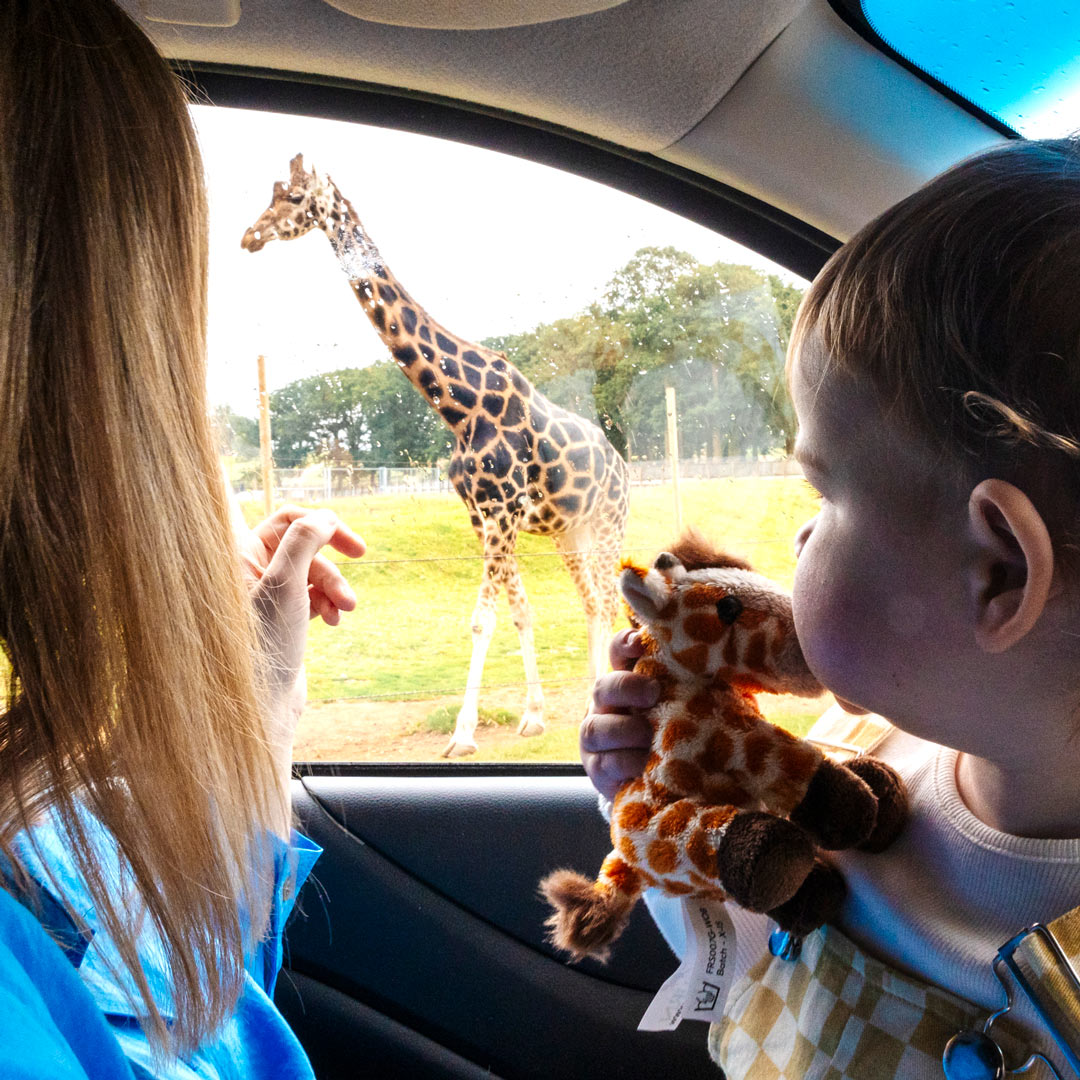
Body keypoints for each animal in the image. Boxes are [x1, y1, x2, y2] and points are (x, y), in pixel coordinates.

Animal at [243, 156, 630, 756]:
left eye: (294, 199)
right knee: (592, 601)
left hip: (609, 523)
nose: (249, 237)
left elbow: (481, 621)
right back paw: (592, 697)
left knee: (609, 600)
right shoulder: (483, 516)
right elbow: (519, 611)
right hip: (570, 531)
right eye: (273, 195)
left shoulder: (501, 513)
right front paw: (533, 717)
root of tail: (623, 465)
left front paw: (463, 735)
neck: (459, 408)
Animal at [537, 531, 902, 963]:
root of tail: (622, 865)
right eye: (727, 607)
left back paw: (820, 893)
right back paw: (777, 859)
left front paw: (878, 798)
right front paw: (857, 810)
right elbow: (798, 764)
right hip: (670, 840)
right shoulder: (736, 737)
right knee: (735, 858)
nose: (808, 647)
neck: (693, 683)